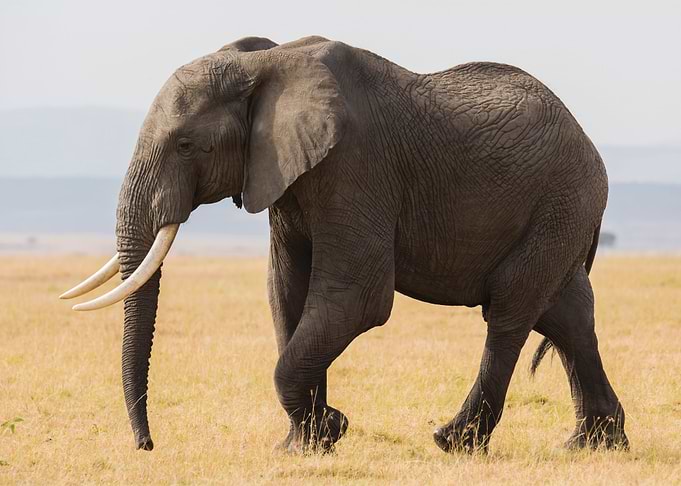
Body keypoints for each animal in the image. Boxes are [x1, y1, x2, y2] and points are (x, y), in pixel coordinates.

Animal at [61, 35, 628, 454]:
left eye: (184, 145)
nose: (147, 446)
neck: (265, 64)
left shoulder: (356, 166)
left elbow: (356, 298)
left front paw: (329, 428)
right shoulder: (285, 178)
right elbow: (286, 294)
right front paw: (304, 444)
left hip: (560, 202)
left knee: (511, 311)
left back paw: (454, 442)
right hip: (560, 215)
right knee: (567, 315)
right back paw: (592, 446)